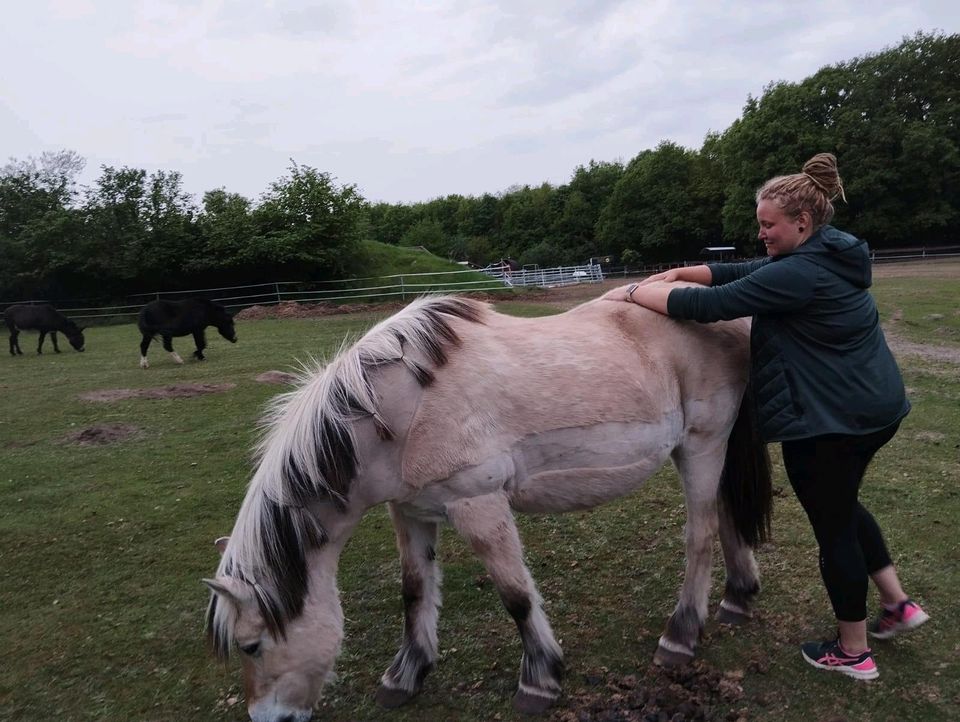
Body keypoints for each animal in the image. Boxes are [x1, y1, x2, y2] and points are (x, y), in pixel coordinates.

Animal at [204, 288, 772, 720]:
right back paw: (738, 597)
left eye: (251, 645)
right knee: (724, 515)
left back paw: (681, 635)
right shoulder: (410, 512)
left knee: (700, 534)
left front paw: (540, 680)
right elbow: (414, 591)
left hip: (702, 443)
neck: (397, 410)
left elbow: (515, 595)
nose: (268, 718)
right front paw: (405, 675)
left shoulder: (477, 505)